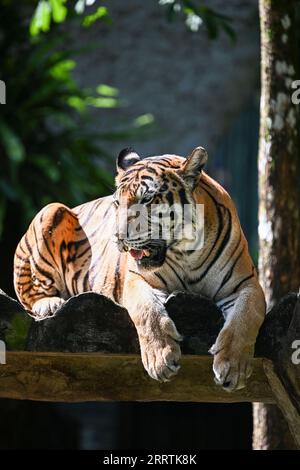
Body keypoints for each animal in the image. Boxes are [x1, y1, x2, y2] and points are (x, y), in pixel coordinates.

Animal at [13, 146, 264, 390]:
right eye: (117, 202)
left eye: (146, 199)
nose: (118, 236)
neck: (187, 254)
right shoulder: (135, 280)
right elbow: (148, 312)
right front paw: (161, 359)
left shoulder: (246, 284)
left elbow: (244, 319)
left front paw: (233, 368)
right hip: (51, 210)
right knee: (28, 290)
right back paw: (49, 304)